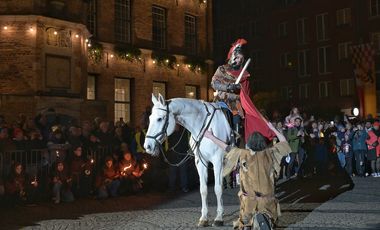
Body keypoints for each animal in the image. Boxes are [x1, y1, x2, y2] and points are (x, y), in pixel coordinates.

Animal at [144, 93, 230, 226]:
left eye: (159, 119)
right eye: (150, 118)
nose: (147, 146)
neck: (205, 127)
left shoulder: (217, 161)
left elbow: (218, 188)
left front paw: (219, 218)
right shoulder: (200, 162)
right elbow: (203, 189)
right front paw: (204, 218)